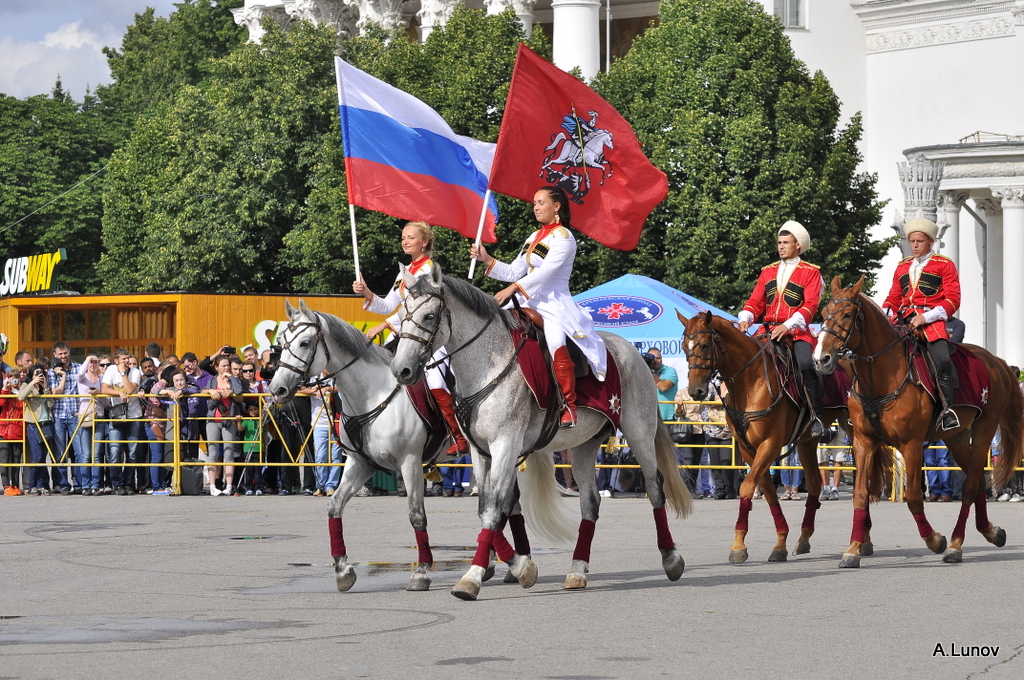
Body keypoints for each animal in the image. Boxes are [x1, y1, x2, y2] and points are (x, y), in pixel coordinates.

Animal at [270, 301, 577, 593]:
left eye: (304, 343)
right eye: (282, 343)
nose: (276, 390)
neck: (374, 394)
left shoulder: (410, 462)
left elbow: (417, 516)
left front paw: (421, 572)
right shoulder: (361, 464)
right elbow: (334, 507)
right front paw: (343, 571)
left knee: (505, 505)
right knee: (509, 505)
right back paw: (506, 564)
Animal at [387, 266, 692, 602]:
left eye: (429, 316)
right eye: (400, 315)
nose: (401, 370)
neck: (490, 366)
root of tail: (633, 352)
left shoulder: (505, 446)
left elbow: (493, 510)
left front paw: (473, 578)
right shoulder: (481, 452)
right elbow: (486, 508)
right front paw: (519, 568)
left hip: (639, 433)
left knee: (654, 488)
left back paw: (672, 559)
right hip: (583, 446)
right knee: (590, 503)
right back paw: (577, 570)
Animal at [679, 309, 847, 561]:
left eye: (706, 345)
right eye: (684, 346)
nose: (695, 391)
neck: (750, 382)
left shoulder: (771, 444)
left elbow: (747, 487)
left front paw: (738, 546)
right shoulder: (749, 449)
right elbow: (767, 491)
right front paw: (779, 543)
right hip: (808, 442)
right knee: (815, 483)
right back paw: (804, 538)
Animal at [811, 276, 1019, 569]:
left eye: (848, 314)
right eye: (824, 312)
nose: (821, 359)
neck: (882, 377)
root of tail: (996, 361)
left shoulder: (910, 445)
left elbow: (913, 498)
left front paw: (934, 539)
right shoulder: (863, 441)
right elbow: (860, 494)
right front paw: (852, 549)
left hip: (984, 431)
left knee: (968, 486)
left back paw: (955, 545)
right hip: (955, 437)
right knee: (977, 481)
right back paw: (990, 532)